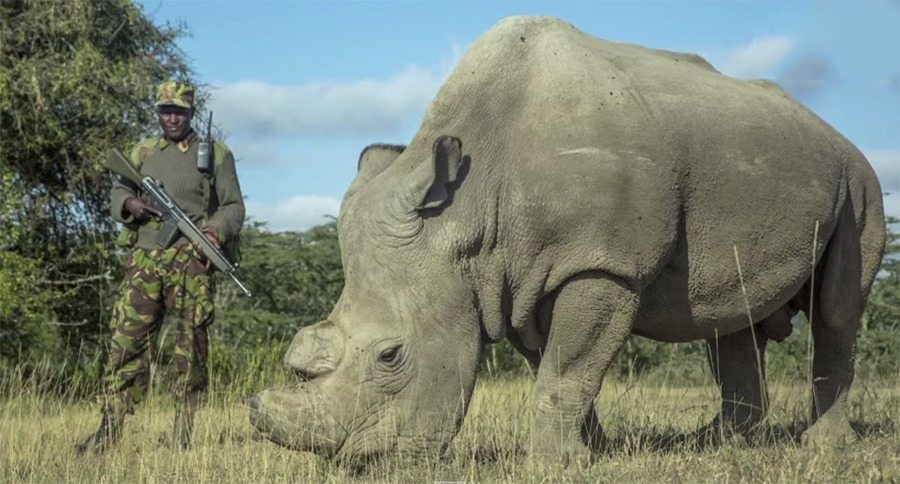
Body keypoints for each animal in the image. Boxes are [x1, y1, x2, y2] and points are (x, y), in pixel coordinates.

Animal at [248, 16, 884, 466]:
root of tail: (828, 128)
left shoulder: (600, 265)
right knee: (731, 314)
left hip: (860, 180)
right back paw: (719, 443)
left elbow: (569, 367)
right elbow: (558, 368)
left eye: (390, 355)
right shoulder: (515, 280)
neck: (469, 213)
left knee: (836, 310)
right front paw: (589, 452)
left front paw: (555, 463)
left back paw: (822, 448)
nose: (354, 462)